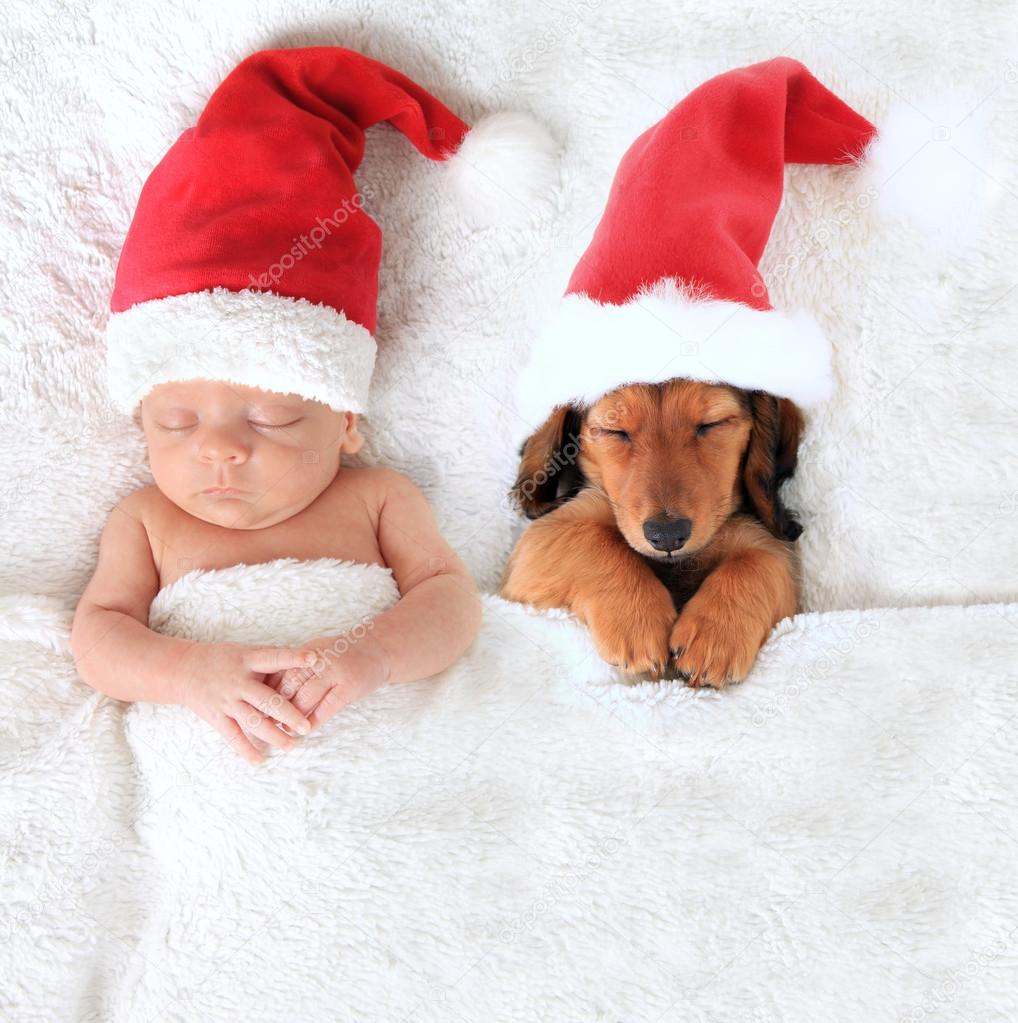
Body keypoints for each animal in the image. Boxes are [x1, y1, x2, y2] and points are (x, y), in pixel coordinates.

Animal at [499, 380, 802, 691]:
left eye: (711, 424)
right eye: (614, 430)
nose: (667, 535)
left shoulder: (759, 540)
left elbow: (760, 560)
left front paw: (714, 637)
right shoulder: (542, 538)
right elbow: (594, 537)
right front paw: (638, 620)